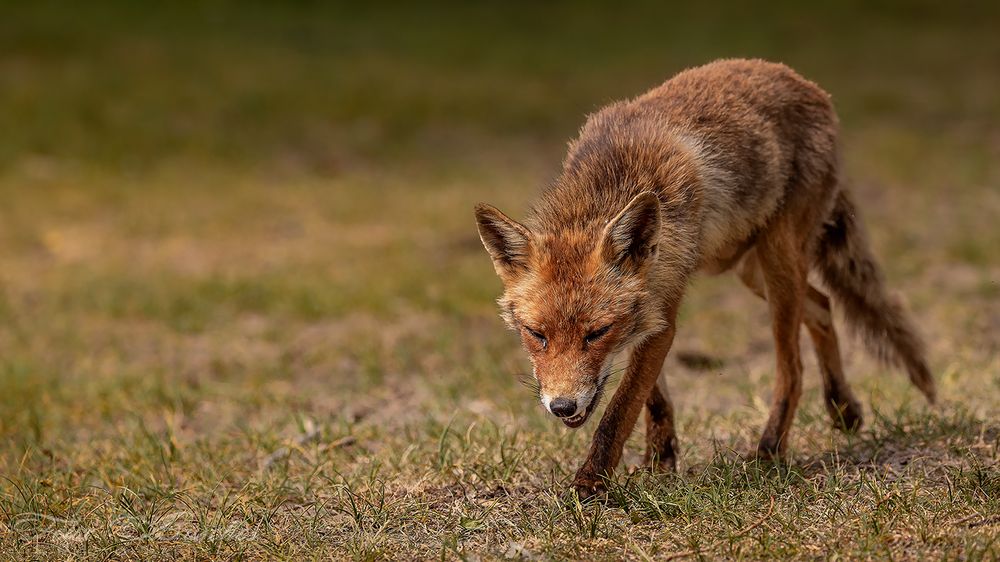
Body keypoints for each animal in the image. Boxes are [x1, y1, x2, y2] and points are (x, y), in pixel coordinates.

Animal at [472, 58, 932, 494]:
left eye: (596, 333)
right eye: (536, 334)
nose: (562, 407)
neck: (617, 178)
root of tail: (807, 84)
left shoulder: (662, 316)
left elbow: (620, 410)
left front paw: (592, 484)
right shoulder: (650, 308)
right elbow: (653, 400)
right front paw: (660, 462)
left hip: (778, 260)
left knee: (793, 367)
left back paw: (770, 450)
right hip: (753, 270)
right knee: (822, 304)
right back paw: (843, 408)